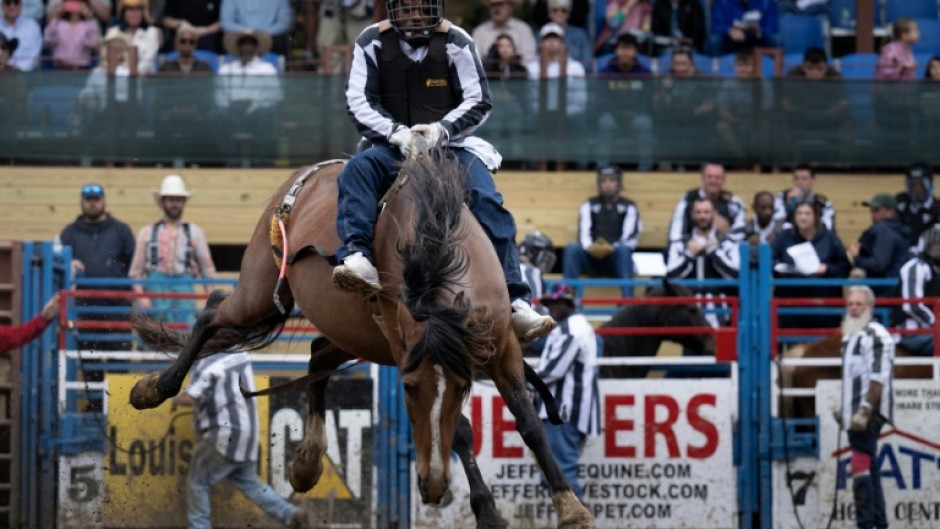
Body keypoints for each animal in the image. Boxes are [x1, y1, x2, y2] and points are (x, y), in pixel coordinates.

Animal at [129, 148, 596, 528]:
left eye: (465, 387)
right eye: (407, 389)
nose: (431, 484)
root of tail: (303, 177)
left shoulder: (501, 348)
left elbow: (530, 422)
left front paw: (572, 509)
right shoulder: (404, 347)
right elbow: (463, 430)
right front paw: (487, 511)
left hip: (350, 333)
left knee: (317, 356)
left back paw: (306, 463)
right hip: (261, 293)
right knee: (212, 310)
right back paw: (154, 388)